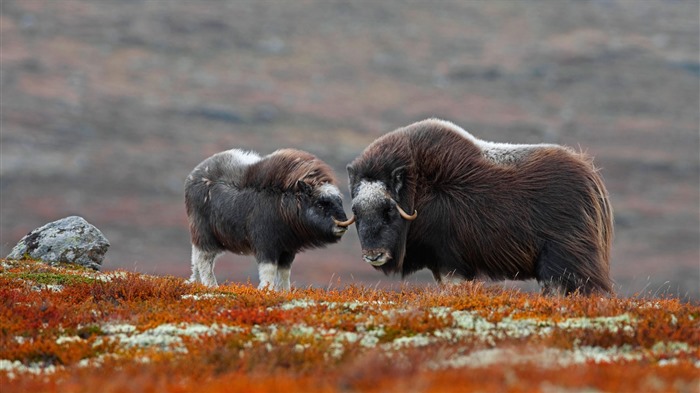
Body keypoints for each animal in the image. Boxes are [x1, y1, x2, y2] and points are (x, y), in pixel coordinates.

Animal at [185, 147, 352, 288]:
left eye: (339, 201)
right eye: (320, 204)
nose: (342, 224)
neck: (285, 202)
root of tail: (193, 176)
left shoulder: (288, 249)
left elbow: (285, 272)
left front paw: (284, 292)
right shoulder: (266, 244)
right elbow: (269, 270)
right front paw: (266, 290)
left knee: (196, 258)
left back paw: (195, 283)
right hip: (205, 234)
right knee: (204, 259)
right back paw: (211, 286)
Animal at [346, 118, 612, 296]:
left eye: (388, 210)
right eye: (356, 212)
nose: (373, 255)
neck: (419, 190)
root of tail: (591, 178)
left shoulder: (451, 261)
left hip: (562, 262)